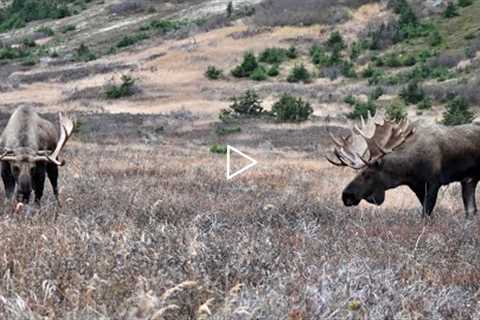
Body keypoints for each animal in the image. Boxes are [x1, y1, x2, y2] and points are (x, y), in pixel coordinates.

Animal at [326, 112, 480, 218]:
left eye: (367, 173)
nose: (346, 195)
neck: (408, 169)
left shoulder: (433, 183)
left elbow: (426, 214)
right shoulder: (417, 186)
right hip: (469, 180)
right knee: (471, 210)